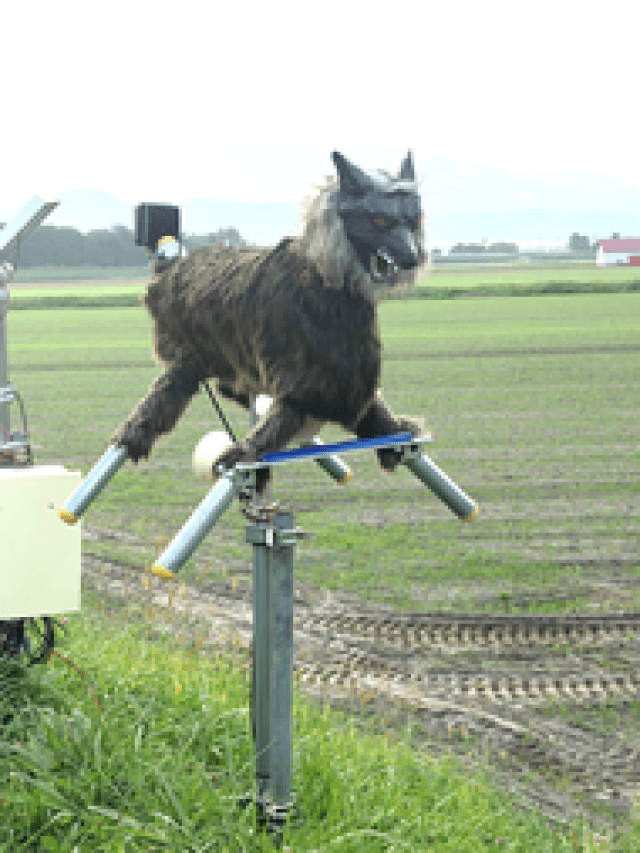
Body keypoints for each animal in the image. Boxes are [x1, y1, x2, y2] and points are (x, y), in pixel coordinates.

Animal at [111, 150, 427, 487]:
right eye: (379, 219)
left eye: (416, 219)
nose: (412, 258)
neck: (324, 282)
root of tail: (169, 267)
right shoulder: (304, 380)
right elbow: (280, 421)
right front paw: (246, 453)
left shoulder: (348, 381)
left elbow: (372, 410)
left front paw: (397, 431)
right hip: (189, 357)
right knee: (166, 394)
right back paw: (132, 437)